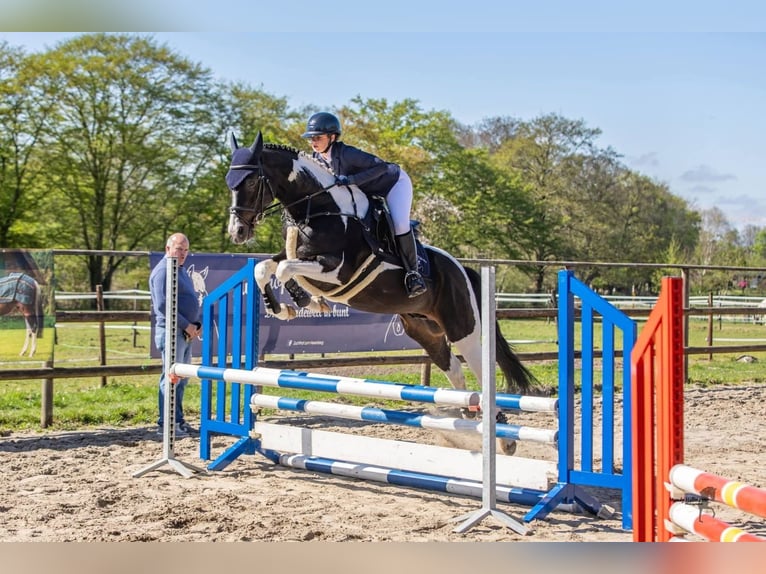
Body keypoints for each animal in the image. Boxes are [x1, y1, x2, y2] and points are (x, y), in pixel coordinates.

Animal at [225, 132, 538, 451]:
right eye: (229, 181)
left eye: (251, 182)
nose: (237, 232)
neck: (320, 208)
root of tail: (462, 270)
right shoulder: (298, 257)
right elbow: (264, 268)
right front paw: (284, 307)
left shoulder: (336, 270)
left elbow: (286, 269)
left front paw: (304, 300)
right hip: (426, 333)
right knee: (456, 372)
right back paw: (469, 416)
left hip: (463, 328)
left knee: (481, 371)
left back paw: (503, 437)